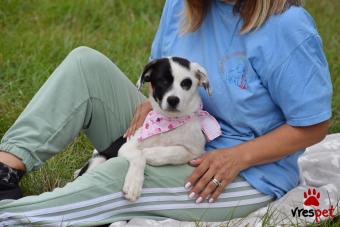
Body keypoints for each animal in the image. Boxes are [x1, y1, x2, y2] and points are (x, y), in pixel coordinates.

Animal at [75, 56, 211, 200]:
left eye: (186, 83)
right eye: (162, 81)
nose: (173, 100)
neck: (167, 123)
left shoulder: (196, 151)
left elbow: (173, 152)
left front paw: (149, 154)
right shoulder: (126, 146)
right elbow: (139, 155)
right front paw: (133, 185)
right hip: (98, 160)